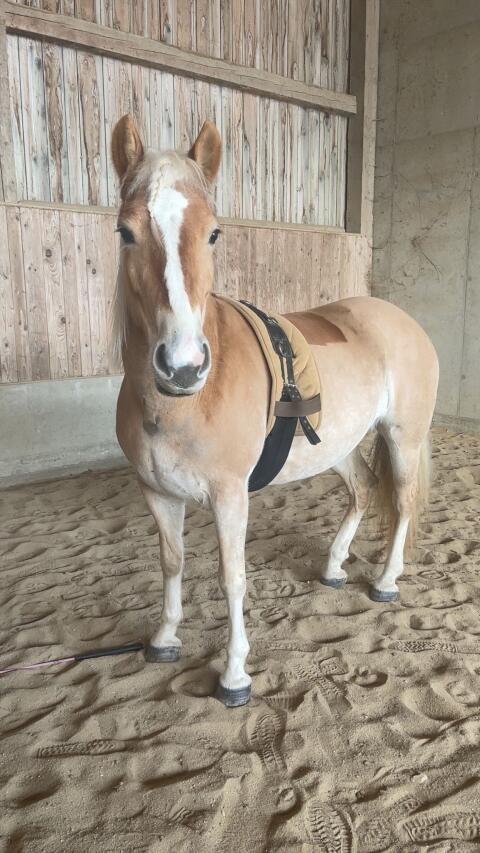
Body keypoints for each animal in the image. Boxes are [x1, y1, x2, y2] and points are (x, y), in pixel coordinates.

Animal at [111, 114, 439, 707]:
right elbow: (172, 562)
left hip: (403, 437)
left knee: (401, 504)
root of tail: (401, 320)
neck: (183, 405)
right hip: (337, 446)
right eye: (126, 232)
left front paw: (235, 675)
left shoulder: (229, 496)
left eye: (214, 233)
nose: (183, 365)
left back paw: (384, 582)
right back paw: (333, 569)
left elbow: (231, 578)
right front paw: (164, 639)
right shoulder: (157, 493)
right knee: (361, 491)